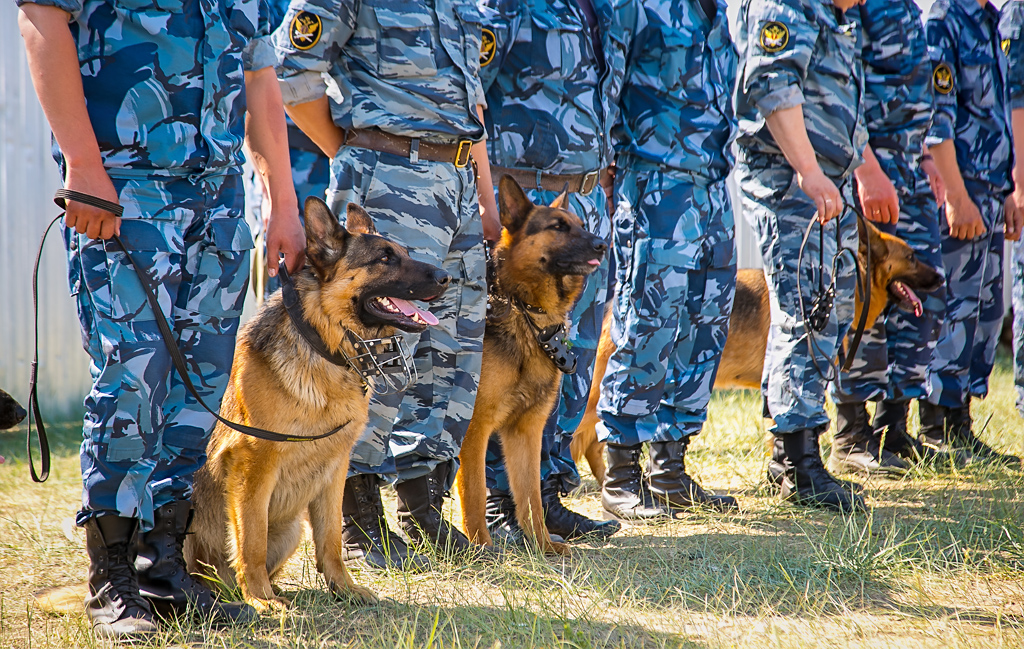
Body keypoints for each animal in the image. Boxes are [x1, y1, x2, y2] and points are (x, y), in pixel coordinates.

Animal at [186, 195, 450, 606]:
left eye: (404, 253)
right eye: (385, 258)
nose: (445, 277)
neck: (324, 345)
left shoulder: (335, 465)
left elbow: (330, 539)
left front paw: (343, 587)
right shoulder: (253, 465)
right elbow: (251, 540)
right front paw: (261, 600)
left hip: (292, 528)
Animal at [456, 174, 606, 552]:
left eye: (580, 225)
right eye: (558, 227)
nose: (603, 244)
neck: (527, 312)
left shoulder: (526, 431)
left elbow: (532, 497)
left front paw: (542, 544)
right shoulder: (475, 431)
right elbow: (476, 495)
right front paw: (483, 549)